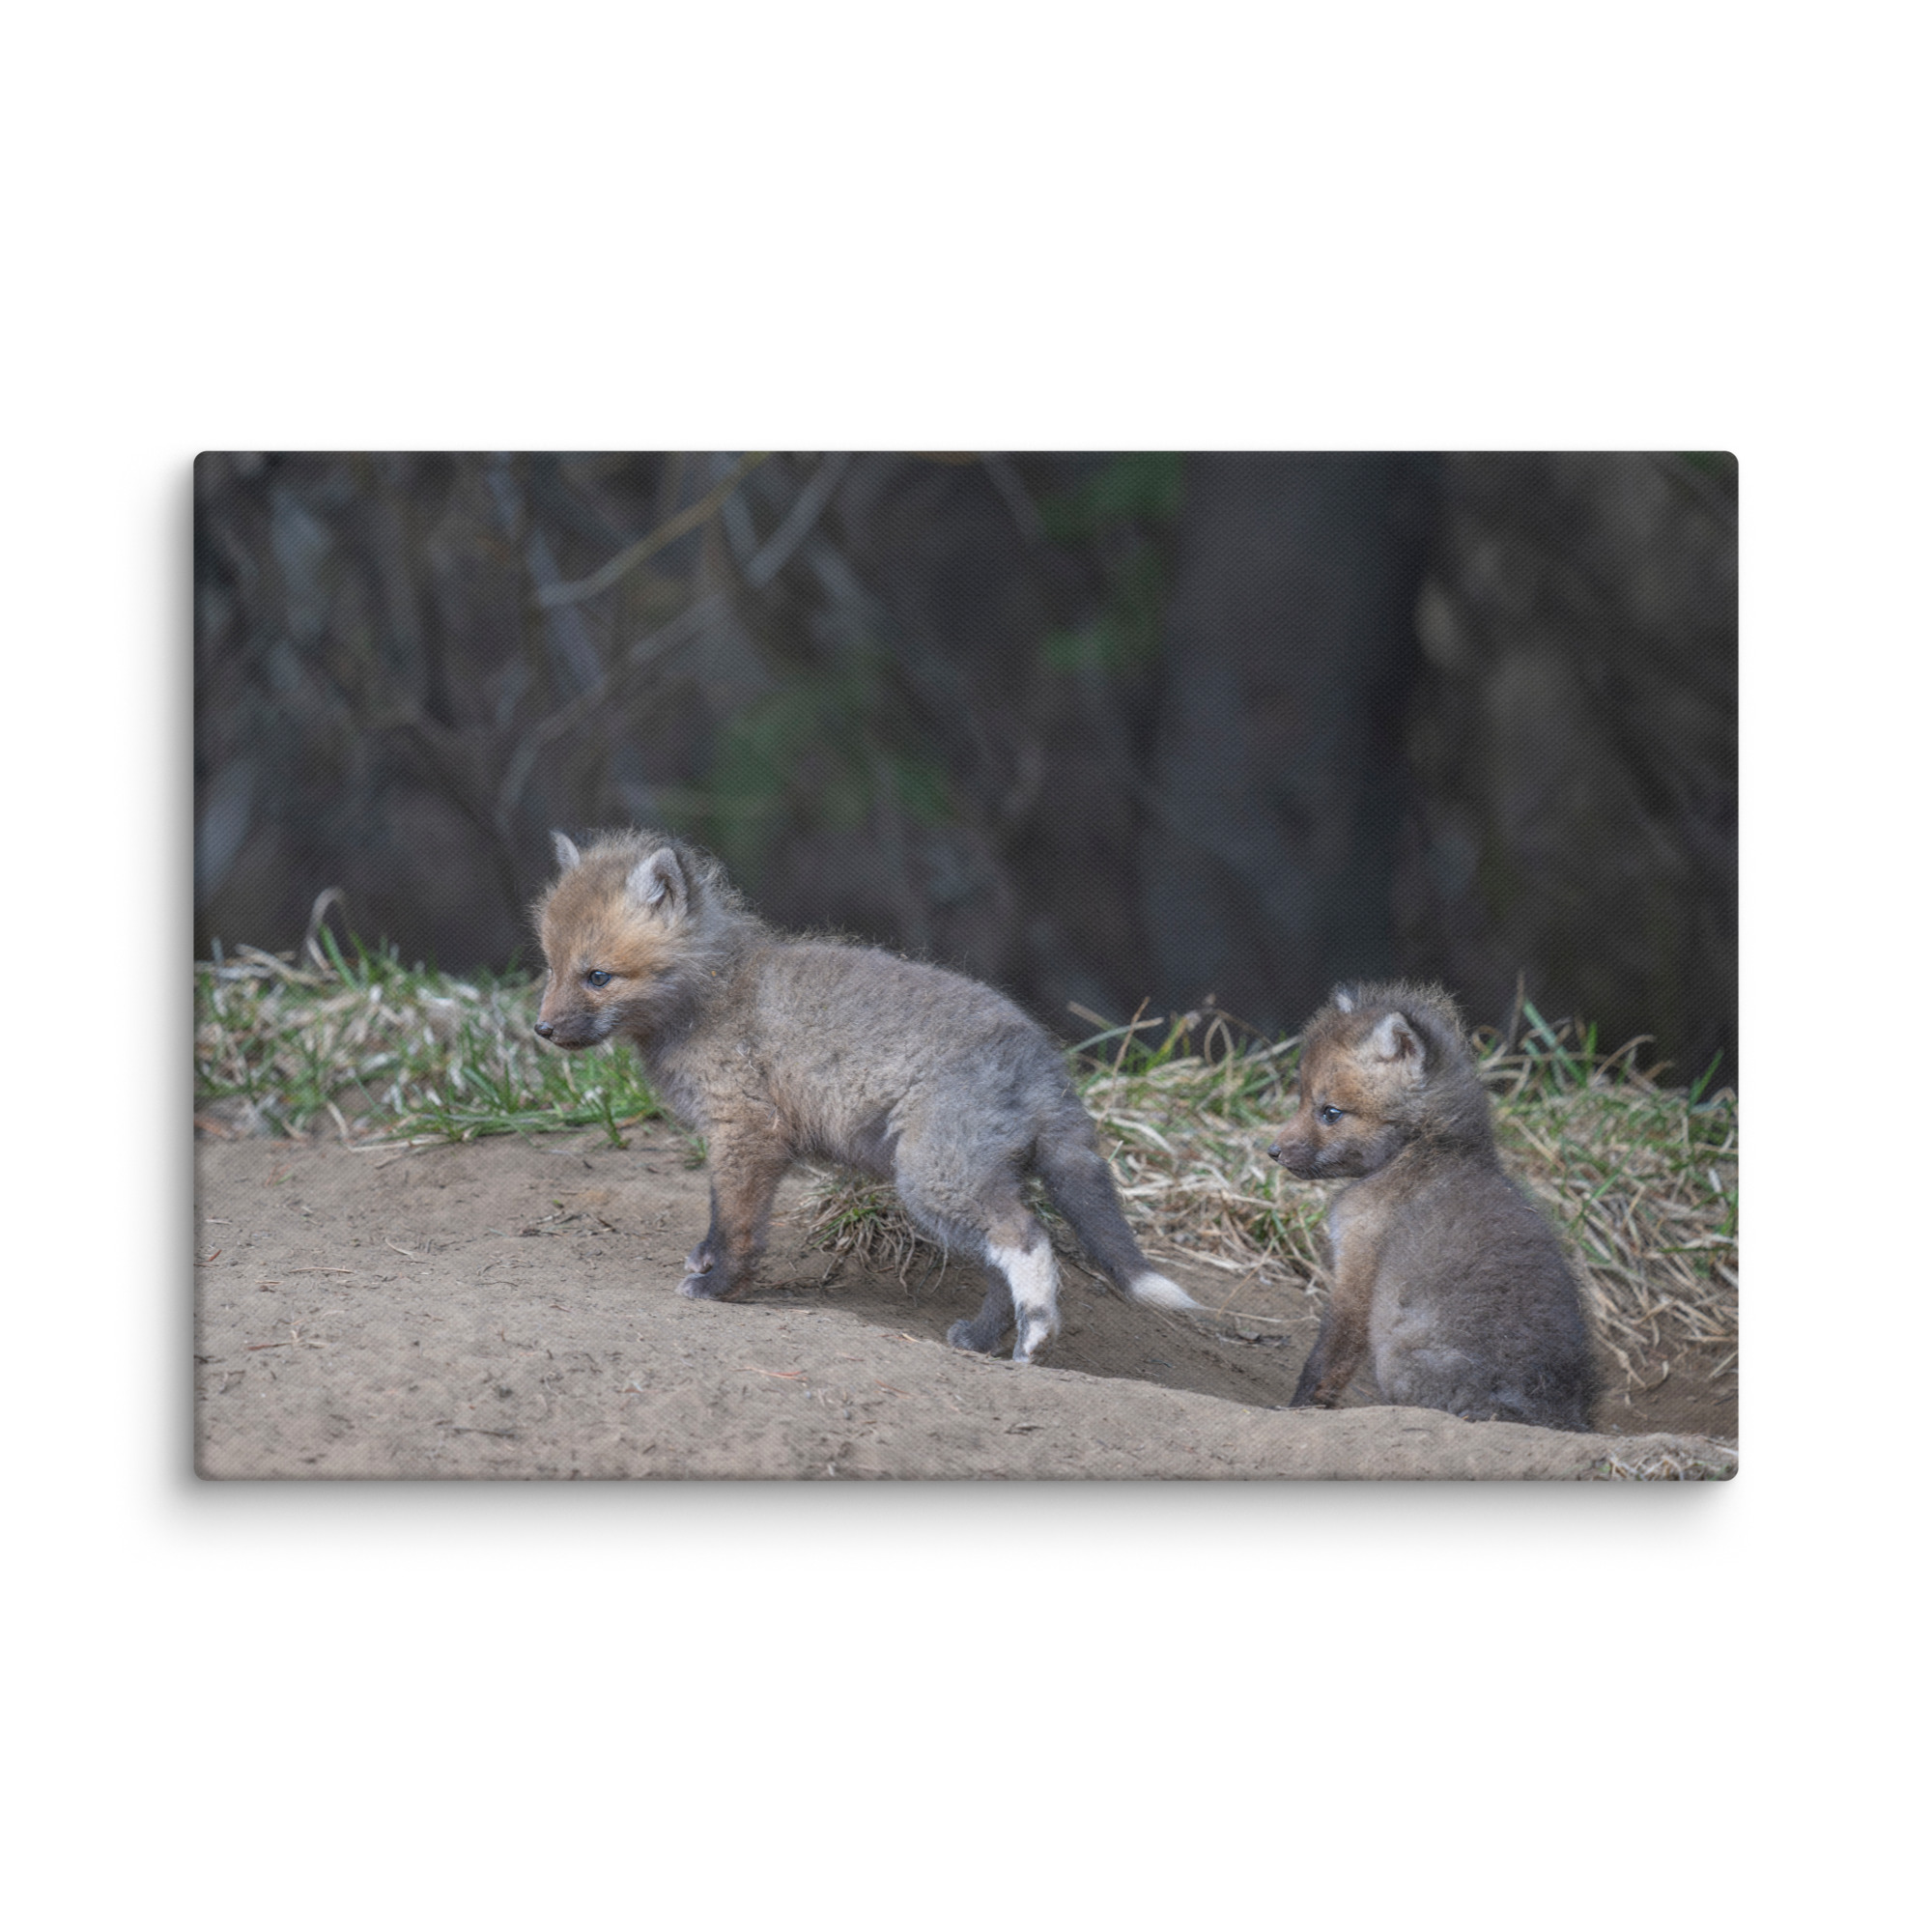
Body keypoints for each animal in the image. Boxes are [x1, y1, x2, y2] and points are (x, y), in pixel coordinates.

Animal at [532, 828, 1200, 1362]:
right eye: (551, 968)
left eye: (598, 977)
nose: (541, 1030)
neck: (711, 994)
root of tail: (1043, 1059)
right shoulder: (741, 1140)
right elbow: (722, 1215)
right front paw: (707, 1262)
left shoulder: (747, 1131)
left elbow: (737, 1224)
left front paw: (720, 1286)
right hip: (965, 1185)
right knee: (1000, 1265)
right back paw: (983, 1340)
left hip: (933, 1180)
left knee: (1029, 1240)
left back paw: (1036, 1337)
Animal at [1268, 981, 1597, 1431]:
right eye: (1301, 1099)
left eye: (1330, 1112)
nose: (1273, 1152)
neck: (1423, 1150)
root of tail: (1550, 1414)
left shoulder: (1357, 1269)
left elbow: (1326, 1360)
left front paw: (1296, 1410)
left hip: (1398, 1357)